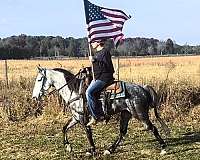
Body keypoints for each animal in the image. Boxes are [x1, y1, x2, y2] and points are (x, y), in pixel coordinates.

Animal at [32, 65, 169, 156]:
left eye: (39, 79)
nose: (34, 97)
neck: (74, 91)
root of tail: (143, 88)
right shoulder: (76, 117)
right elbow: (65, 128)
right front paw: (68, 147)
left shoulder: (83, 119)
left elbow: (88, 134)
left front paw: (92, 150)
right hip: (126, 114)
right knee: (122, 132)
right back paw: (109, 149)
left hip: (140, 114)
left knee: (152, 128)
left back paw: (163, 148)